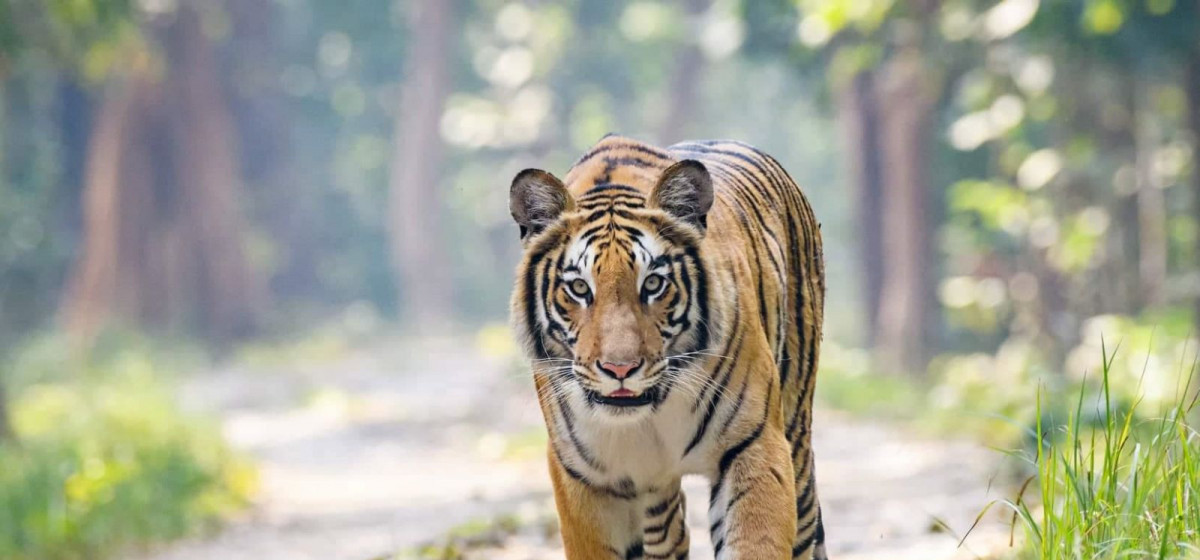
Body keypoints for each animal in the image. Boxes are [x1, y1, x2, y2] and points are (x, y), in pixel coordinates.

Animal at [509, 134, 826, 560]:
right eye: (578, 288)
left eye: (653, 284)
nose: (620, 369)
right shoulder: (586, 477)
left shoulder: (754, 445)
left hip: (796, 435)